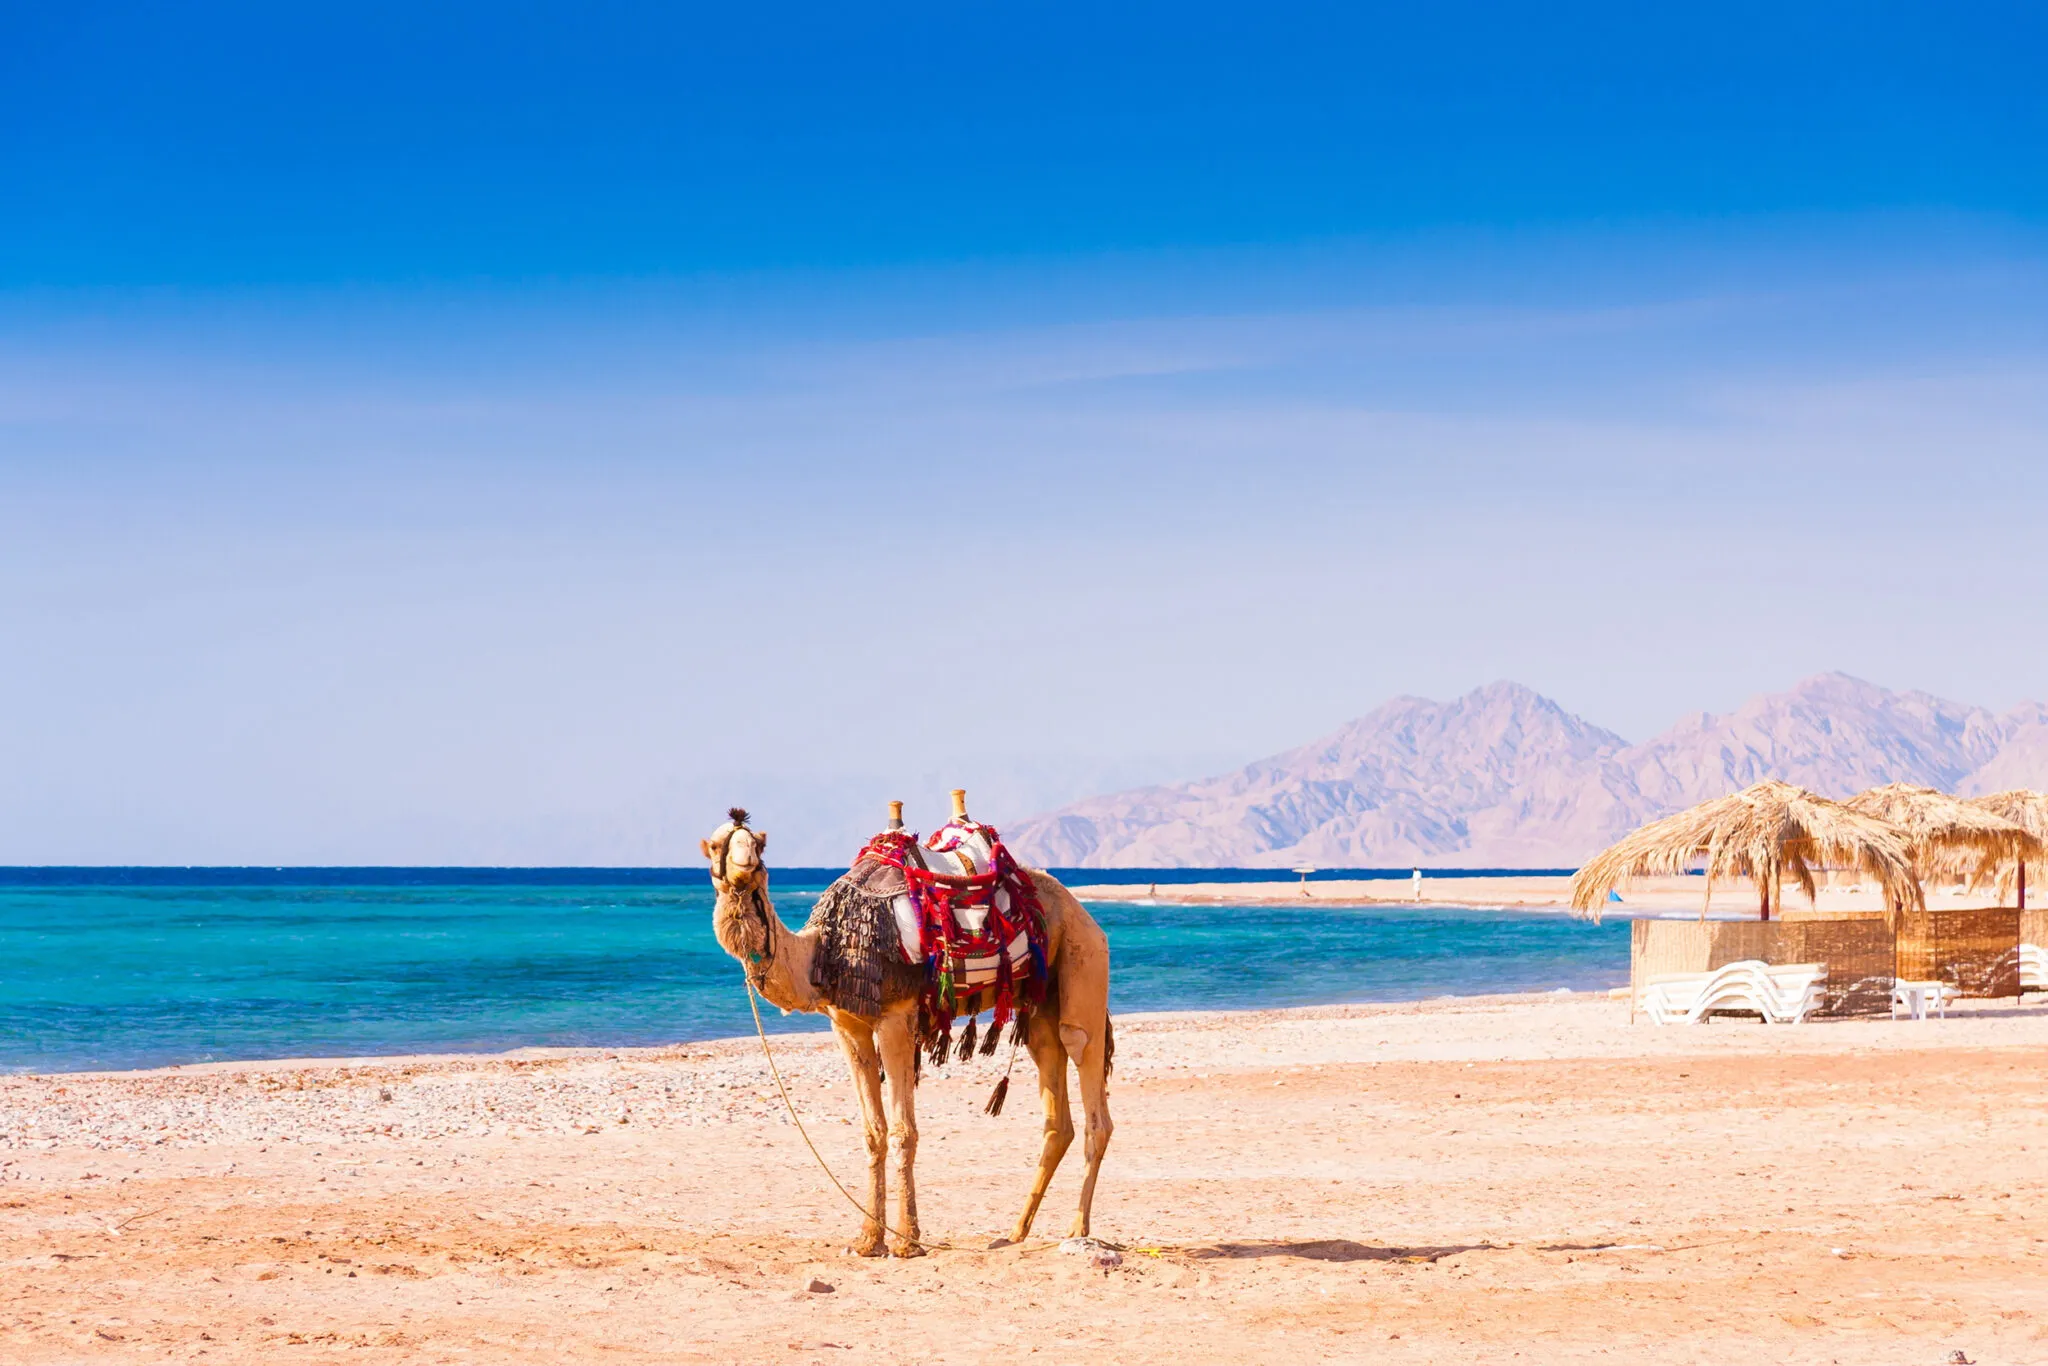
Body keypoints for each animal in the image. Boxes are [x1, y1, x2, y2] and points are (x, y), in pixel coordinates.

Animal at [701, 802, 1114, 1258]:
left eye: (757, 846)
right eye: (719, 844)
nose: (744, 863)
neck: (821, 951)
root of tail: (1078, 907)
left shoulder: (895, 1017)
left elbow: (903, 1132)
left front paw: (907, 1240)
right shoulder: (848, 1026)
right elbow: (872, 1132)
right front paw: (868, 1239)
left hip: (1084, 956)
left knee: (1086, 1069)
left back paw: (1078, 1229)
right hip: (1040, 1004)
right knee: (1056, 1109)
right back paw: (1014, 1232)